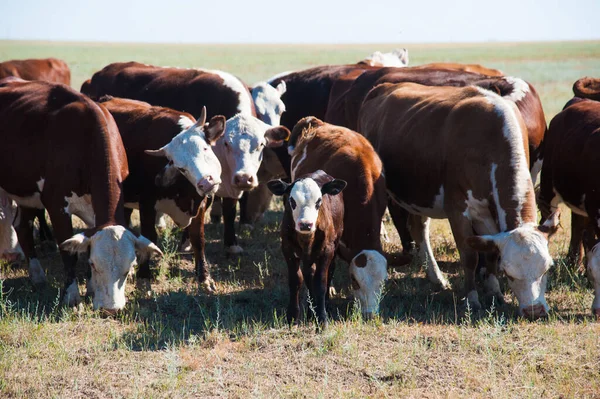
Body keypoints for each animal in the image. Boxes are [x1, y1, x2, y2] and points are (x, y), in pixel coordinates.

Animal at [0, 76, 162, 310]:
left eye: (129, 268)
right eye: (94, 265)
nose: (110, 309)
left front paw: (92, 289)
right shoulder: (56, 205)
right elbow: (69, 253)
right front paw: (72, 295)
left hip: (27, 193)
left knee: (22, 226)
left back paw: (37, 276)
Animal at [96, 97, 227, 290]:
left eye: (205, 148)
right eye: (181, 168)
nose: (206, 182)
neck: (184, 191)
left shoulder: (201, 205)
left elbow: (198, 239)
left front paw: (204, 277)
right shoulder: (147, 204)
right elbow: (149, 237)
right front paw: (144, 277)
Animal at [358, 83, 560, 320]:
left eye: (547, 268)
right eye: (509, 273)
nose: (534, 311)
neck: (490, 138)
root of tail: (383, 86)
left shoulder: (487, 215)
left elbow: (491, 252)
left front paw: (494, 292)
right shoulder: (458, 210)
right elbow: (470, 256)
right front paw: (472, 299)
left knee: (419, 228)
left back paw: (436, 277)